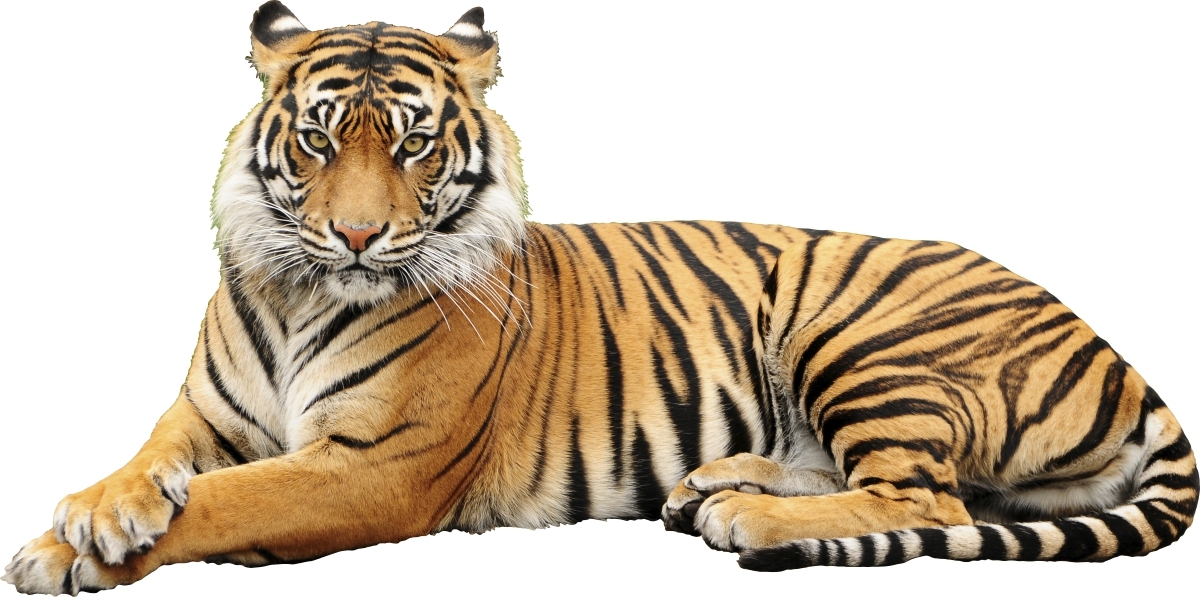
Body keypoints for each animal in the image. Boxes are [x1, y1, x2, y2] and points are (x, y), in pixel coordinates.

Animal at [3, 1, 1196, 593]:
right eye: (319, 139)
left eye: (414, 145)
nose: (356, 234)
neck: (302, 293)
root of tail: (1118, 352)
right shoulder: (203, 415)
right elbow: (151, 465)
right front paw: (89, 515)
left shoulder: (374, 467)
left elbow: (228, 503)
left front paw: (71, 551)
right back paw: (713, 484)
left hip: (860, 329)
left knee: (929, 499)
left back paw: (747, 515)